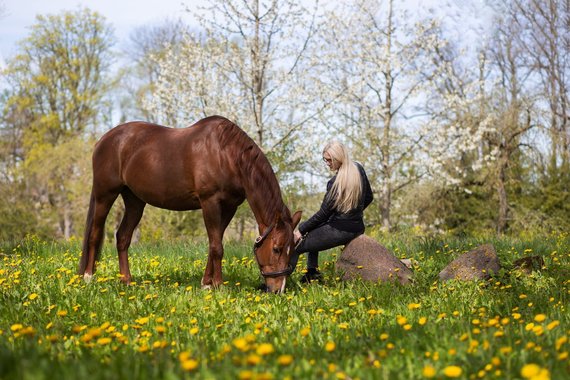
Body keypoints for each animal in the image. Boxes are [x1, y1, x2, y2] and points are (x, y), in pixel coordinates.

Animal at [80, 116, 304, 294]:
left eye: (293, 249)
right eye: (276, 249)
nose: (278, 290)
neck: (226, 155)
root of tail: (104, 140)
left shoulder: (229, 207)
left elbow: (214, 243)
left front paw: (207, 283)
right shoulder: (210, 202)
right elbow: (217, 247)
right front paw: (219, 285)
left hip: (135, 201)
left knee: (123, 237)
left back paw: (126, 281)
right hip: (105, 195)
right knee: (95, 233)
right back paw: (89, 277)